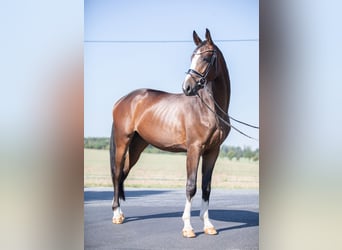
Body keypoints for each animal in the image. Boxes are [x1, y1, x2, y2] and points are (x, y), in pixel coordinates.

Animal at [111, 28, 231, 237]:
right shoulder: (194, 149)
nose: (187, 87)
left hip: (137, 146)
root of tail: (123, 100)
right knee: (118, 174)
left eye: (206, 58)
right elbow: (191, 186)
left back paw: (120, 212)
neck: (210, 110)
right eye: (192, 56)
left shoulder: (212, 151)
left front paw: (208, 225)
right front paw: (188, 227)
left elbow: (206, 187)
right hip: (122, 142)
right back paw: (116, 215)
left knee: (123, 174)